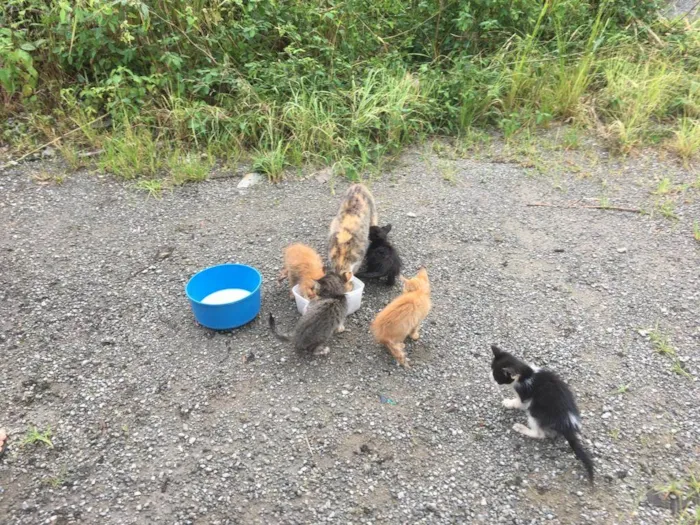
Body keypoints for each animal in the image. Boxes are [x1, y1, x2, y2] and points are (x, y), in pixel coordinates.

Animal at [490, 344, 592, 484]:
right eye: (492, 370)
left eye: (496, 376)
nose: (490, 378)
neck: (526, 374)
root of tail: (567, 423)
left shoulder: (524, 397)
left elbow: (517, 403)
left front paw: (508, 403)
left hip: (534, 411)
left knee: (539, 434)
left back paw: (521, 428)